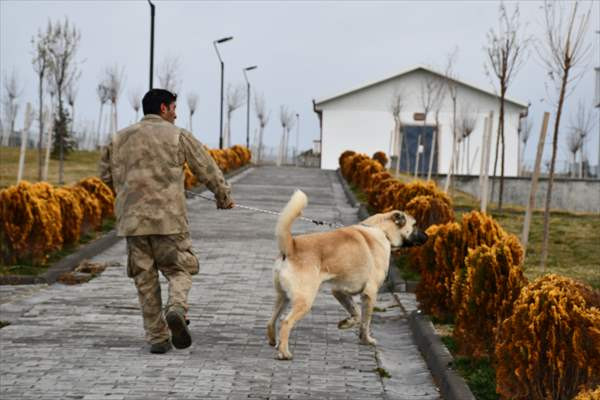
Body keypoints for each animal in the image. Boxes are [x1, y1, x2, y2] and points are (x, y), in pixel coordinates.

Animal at [266, 189, 426, 360]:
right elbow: (365, 321)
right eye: (414, 225)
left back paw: (274, 342)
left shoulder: (339, 291)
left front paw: (346, 323)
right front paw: (366, 339)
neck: (382, 230)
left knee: (272, 320)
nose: (427, 236)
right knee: (286, 322)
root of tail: (291, 246)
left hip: (283, 297)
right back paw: (284, 352)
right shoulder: (370, 293)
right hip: (304, 300)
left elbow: (356, 313)